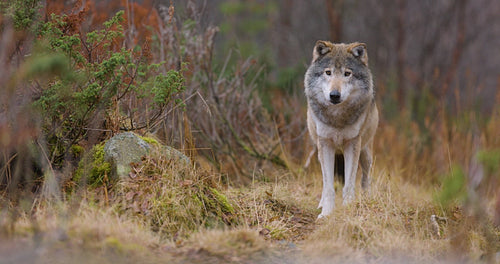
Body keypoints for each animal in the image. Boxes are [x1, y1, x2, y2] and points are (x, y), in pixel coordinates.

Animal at [304, 40, 378, 219]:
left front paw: (349, 209)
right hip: (319, 151)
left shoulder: (352, 144)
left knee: (365, 179)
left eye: (347, 73)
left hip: (365, 153)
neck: (337, 118)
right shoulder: (325, 144)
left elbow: (349, 185)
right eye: (328, 72)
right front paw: (326, 213)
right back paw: (321, 205)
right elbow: (329, 186)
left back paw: (366, 199)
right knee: (325, 184)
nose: (334, 95)